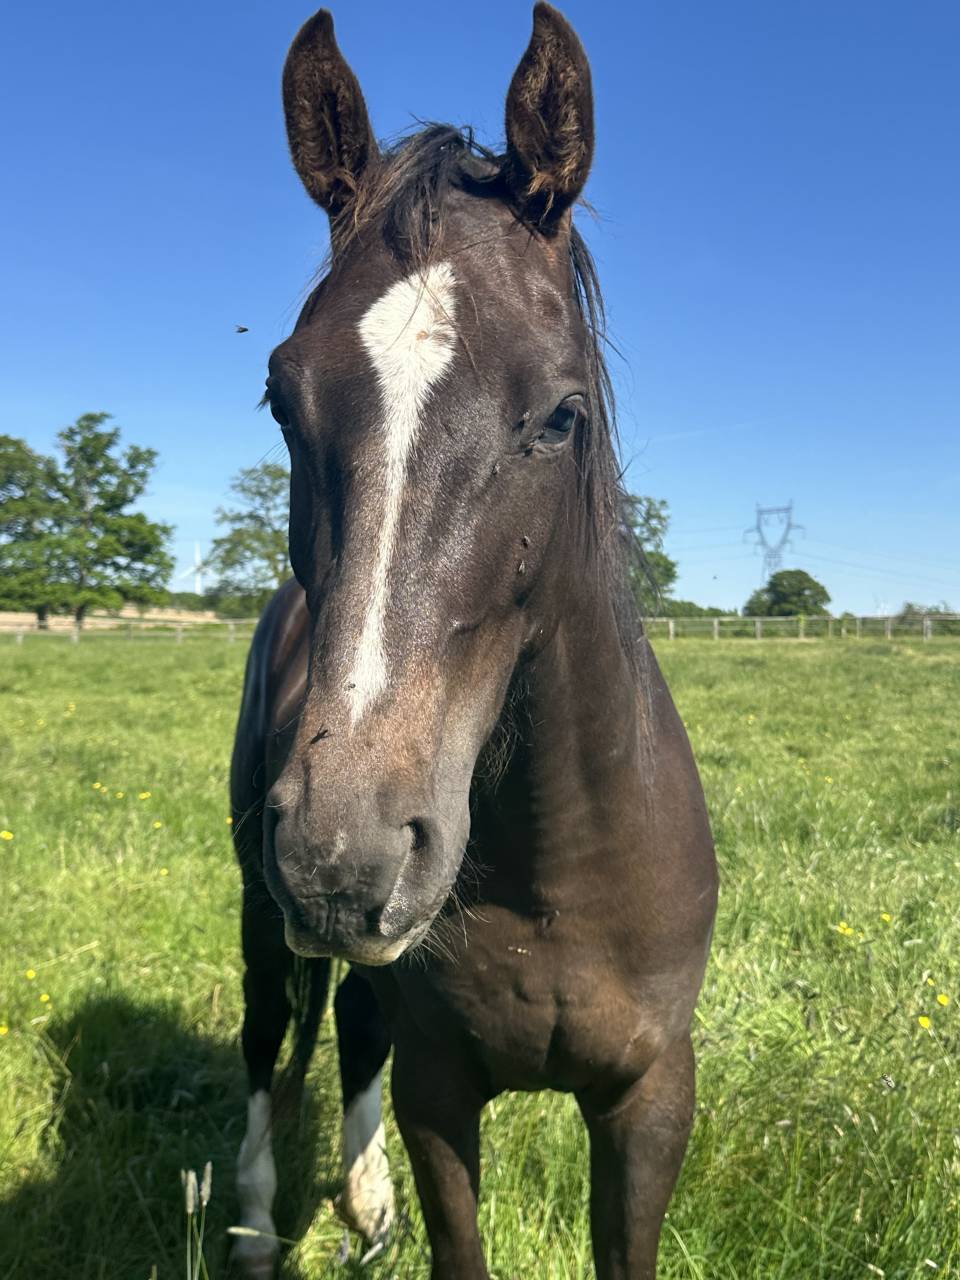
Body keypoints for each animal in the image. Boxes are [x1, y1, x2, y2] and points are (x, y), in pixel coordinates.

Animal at [229, 6, 718, 1277]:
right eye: (282, 398)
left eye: (560, 414)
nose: (344, 856)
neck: (556, 868)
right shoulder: (443, 1093)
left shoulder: (650, 1101)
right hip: (261, 898)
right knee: (269, 1025)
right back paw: (253, 1215)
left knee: (352, 1019)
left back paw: (361, 1204)